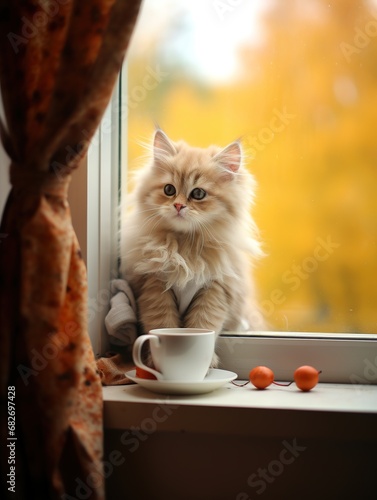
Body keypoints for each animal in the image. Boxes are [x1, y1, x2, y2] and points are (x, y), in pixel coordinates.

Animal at [120, 128, 264, 364]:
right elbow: (162, 325)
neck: (184, 246)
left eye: (198, 194)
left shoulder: (213, 291)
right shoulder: (156, 286)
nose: (178, 205)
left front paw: (207, 363)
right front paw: (155, 362)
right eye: (169, 189)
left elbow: (203, 326)